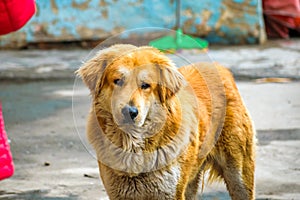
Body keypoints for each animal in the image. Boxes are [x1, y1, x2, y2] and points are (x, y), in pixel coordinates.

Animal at [77, 44, 255, 199]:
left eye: (145, 85)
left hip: (239, 175)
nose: (129, 112)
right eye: (118, 81)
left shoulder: (169, 193)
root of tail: (218, 67)